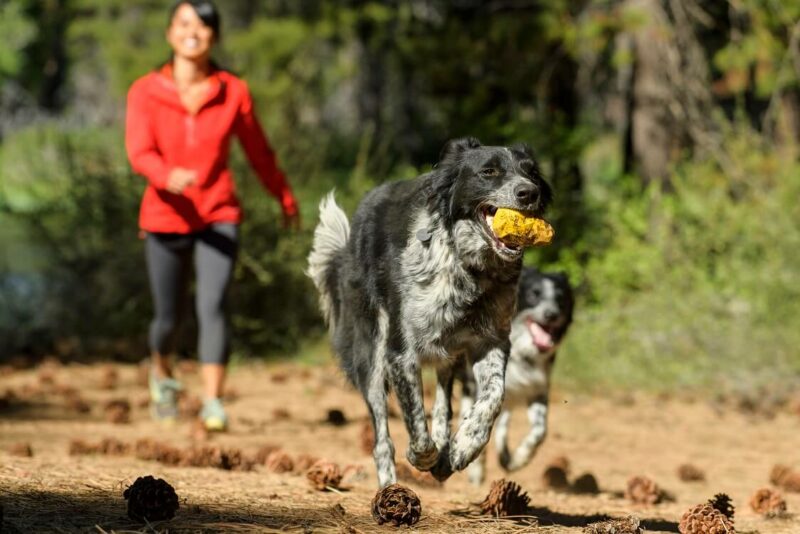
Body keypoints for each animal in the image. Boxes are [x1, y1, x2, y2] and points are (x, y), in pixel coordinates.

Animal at [306, 138, 552, 490]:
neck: (469, 269)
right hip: (371, 355)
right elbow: (416, 424)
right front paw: (423, 457)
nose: (528, 193)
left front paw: (464, 446)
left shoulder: (492, 341)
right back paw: (390, 486)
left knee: (443, 401)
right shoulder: (400, 353)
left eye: (530, 172)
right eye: (488, 171)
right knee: (382, 438)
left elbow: (492, 398)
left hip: (448, 352)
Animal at [462, 268, 576, 486]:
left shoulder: (537, 389)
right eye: (534, 294)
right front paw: (475, 468)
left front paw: (520, 458)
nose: (551, 314)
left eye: (560, 298)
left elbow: (540, 431)